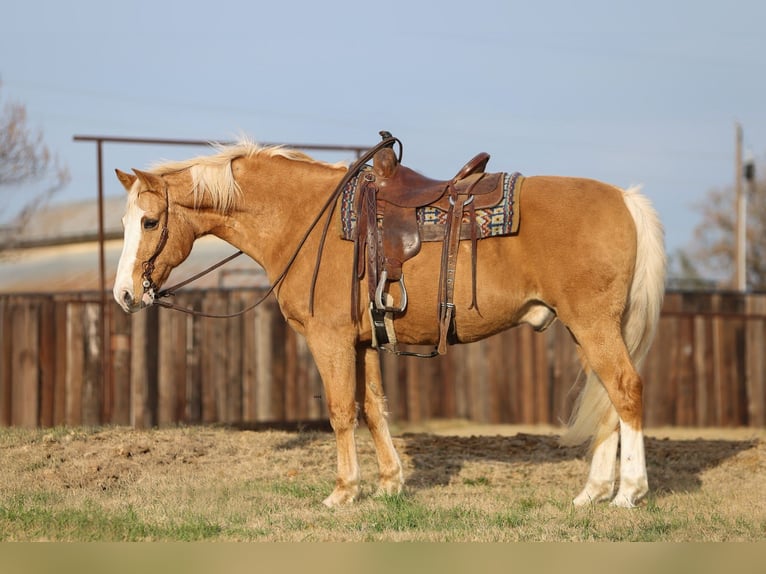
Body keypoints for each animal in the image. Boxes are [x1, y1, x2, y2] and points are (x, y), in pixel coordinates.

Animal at [113, 137, 665, 508]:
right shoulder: (364, 342)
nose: (124, 294)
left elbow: (341, 411)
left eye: (149, 222)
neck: (304, 219)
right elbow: (374, 407)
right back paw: (593, 492)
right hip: (585, 329)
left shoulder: (330, 339)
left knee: (626, 390)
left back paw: (629, 492)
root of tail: (625, 198)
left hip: (594, 326)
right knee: (605, 399)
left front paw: (343, 492)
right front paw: (389, 483)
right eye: (124, 222)